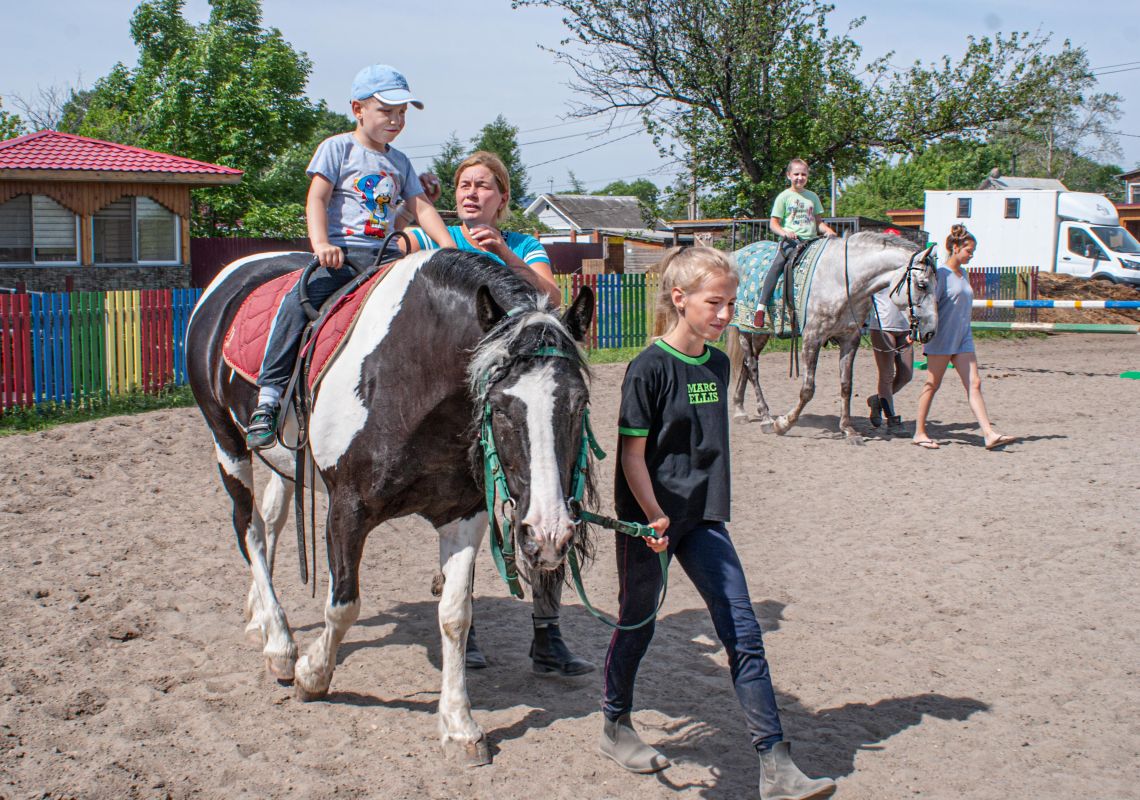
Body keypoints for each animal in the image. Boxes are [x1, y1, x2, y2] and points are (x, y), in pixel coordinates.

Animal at [184, 250, 597, 765]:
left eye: (579, 404)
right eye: (500, 407)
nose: (548, 533)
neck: (412, 376)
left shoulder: (464, 513)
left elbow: (455, 615)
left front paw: (459, 726)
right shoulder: (346, 508)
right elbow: (343, 604)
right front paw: (311, 675)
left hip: (283, 462)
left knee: (273, 520)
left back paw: (260, 613)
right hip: (227, 439)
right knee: (249, 527)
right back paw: (279, 645)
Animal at [725, 232, 939, 444]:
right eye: (922, 285)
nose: (930, 331)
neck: (843, 280)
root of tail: (737, 254)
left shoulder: (849, 339)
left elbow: (846, 385)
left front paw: (848, 430)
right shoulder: (812, 338)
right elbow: (808, 389)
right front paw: (783, 424)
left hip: (761, 333)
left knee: (746, 365)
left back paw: (740, 410)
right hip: (746, 329)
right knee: (752, 368)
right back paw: (766, 418)